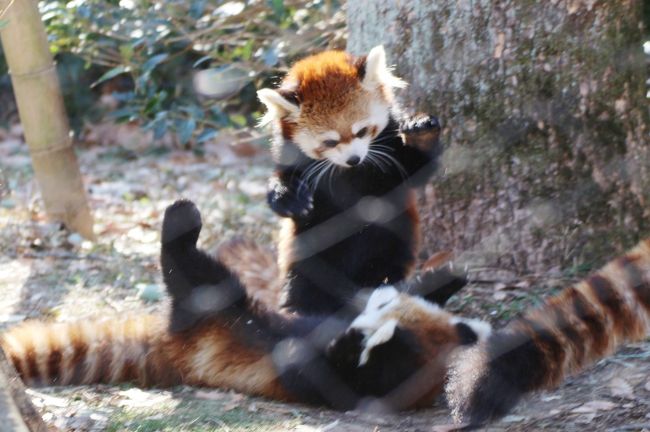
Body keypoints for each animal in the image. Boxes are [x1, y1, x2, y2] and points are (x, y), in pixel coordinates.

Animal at [0, 199, 486, 412]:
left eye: (374, 318)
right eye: (376, 303)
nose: (363, 312)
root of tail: (168, 343)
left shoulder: (362, 383)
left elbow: (323, 371)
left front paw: (348, 346)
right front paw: (446, 276)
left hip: (211, 316)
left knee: (194, 276)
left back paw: (179, 230)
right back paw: (182, 217)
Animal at [256, 44, 442, 314]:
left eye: (362, 131)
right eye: (329, 142)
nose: (353, 159)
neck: (350, 173)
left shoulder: (391, 152)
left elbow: (418, 170)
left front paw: (421, 132)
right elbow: (280, 189)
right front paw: (288, 196)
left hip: (394, 242)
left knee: (385, 269)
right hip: (309, 251)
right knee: (304, 284)